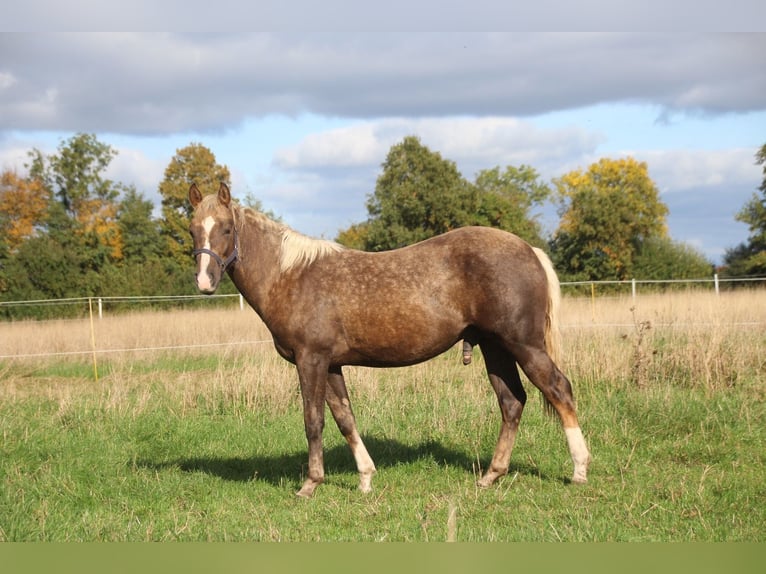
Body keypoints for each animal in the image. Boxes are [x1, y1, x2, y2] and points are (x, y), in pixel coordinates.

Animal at [188, 182, 590, 498]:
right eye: (193, 230)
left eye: (226, 228)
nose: (205, 282)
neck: (292, 275)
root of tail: (530, 251)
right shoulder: (331, 364)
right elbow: (345, 419)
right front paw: (365, 478)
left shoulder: (311, 359)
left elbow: (313, 420)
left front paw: (310, 484)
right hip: (496, 348)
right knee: (512, 402)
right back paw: (491, 476)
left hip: (524, 345)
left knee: (559, 389)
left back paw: (579, 470)